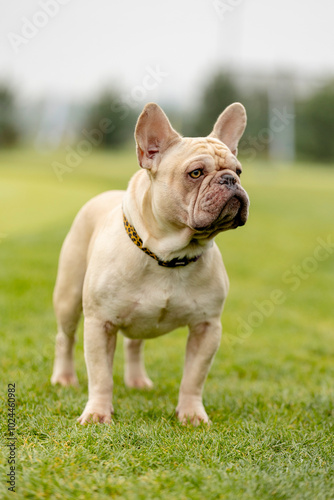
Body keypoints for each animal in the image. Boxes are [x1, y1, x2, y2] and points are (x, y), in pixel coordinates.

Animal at [51, 101, 249, 426]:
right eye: (196, 173)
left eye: (238, 171)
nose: (230, 180)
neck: (169, 256)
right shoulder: (100, 323)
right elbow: (100, 375)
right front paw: (97, 414)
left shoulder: (207, 327)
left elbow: (193, 378)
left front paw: (192, 415)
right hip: (68, 298)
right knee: (65, 338)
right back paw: (64, 378)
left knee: (134, 343)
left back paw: (137, 381)